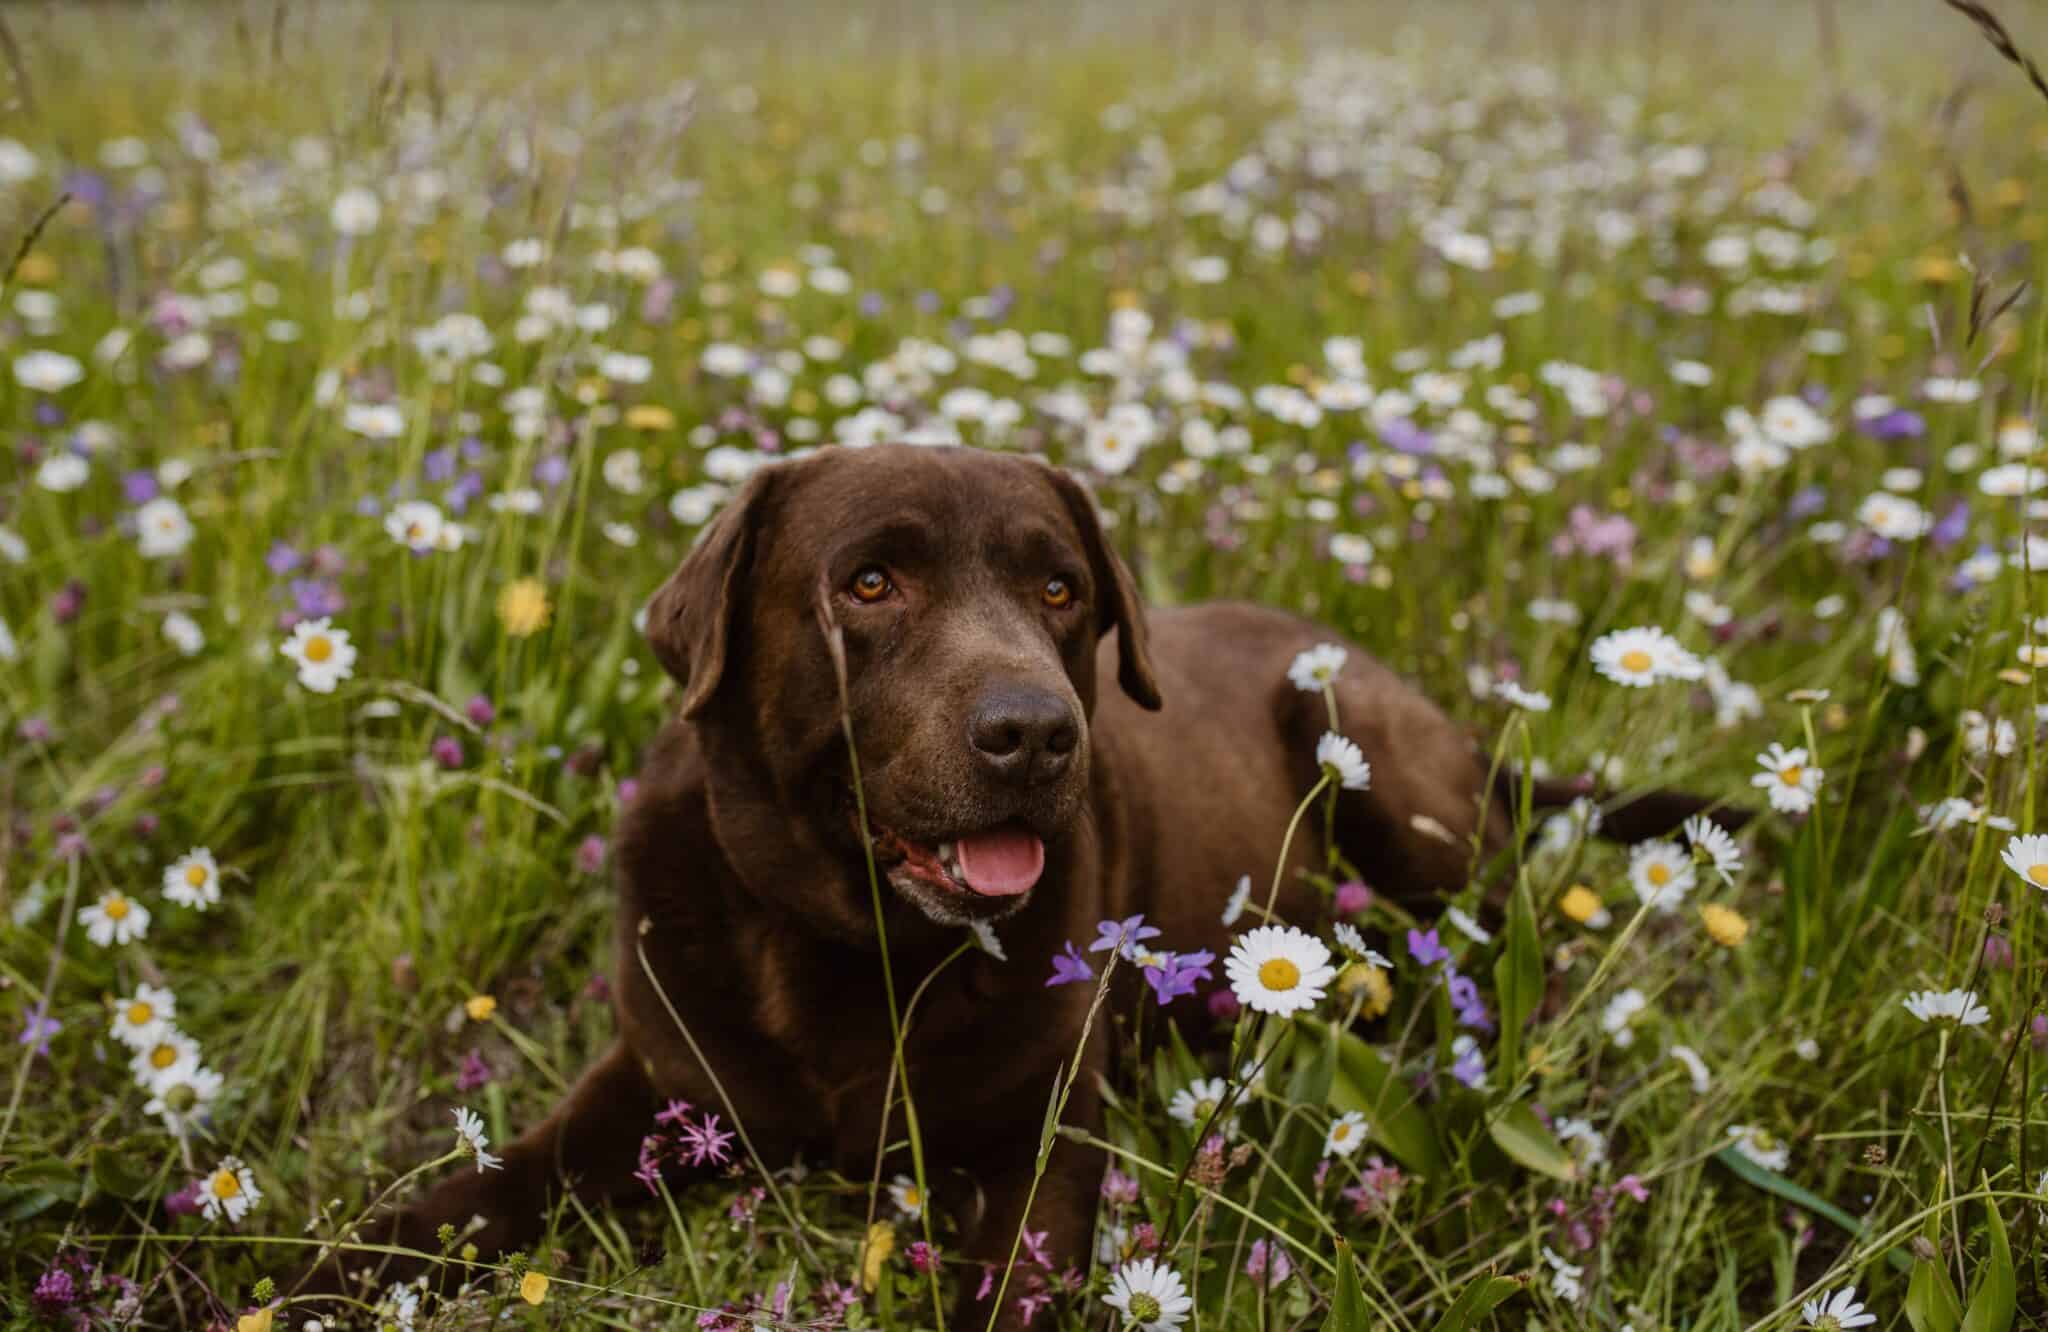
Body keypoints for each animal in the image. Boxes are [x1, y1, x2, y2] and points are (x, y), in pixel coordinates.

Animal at [303, 442, 1712, 1319]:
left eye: (1058, 588)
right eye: (869, 582)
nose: (1034, 733)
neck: (856, 947)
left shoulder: (1042, 1150)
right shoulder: (647, 1085)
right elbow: (463, 1196)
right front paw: (303, 1283)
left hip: (1368, 759)